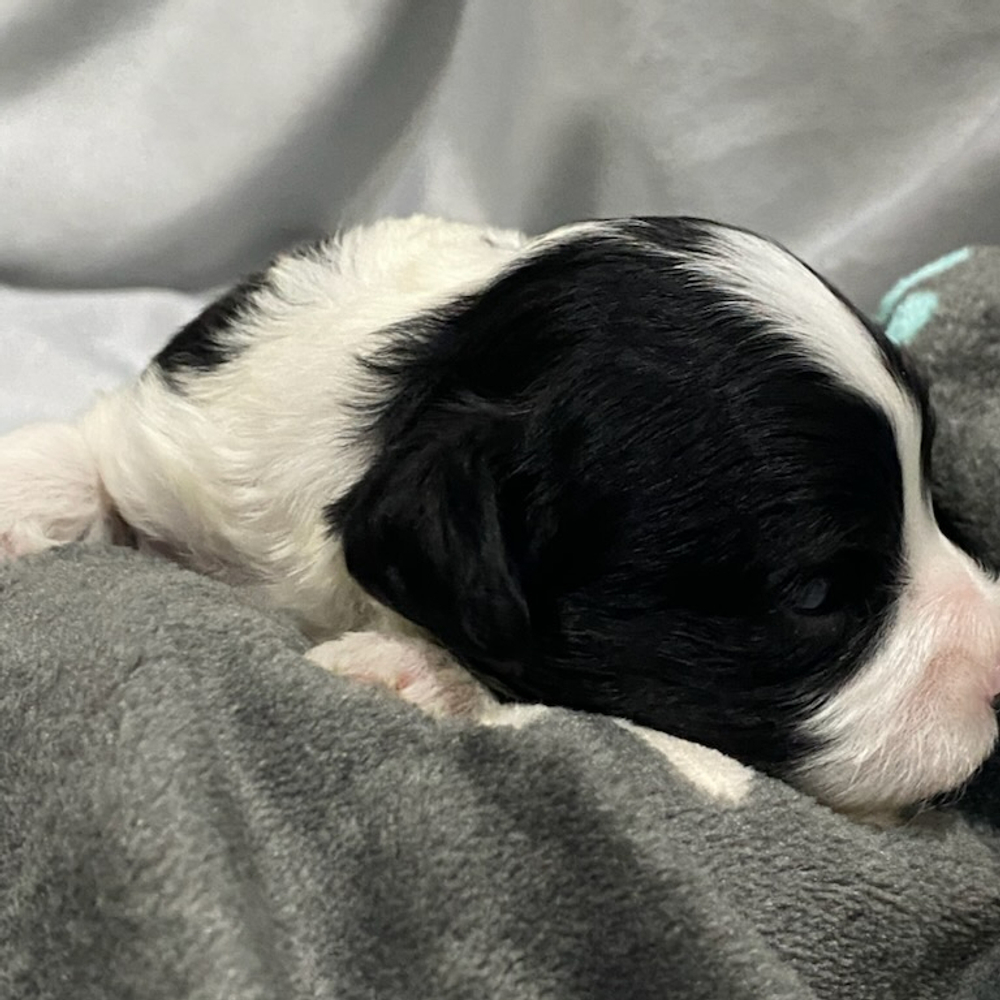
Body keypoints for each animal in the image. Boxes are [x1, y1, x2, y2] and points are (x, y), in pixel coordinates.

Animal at [3, 214, 999, 817]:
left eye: (936, 503)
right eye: (816, 593)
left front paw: (403, 670)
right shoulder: (187, 431)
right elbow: (96, 450)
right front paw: (23, 495)